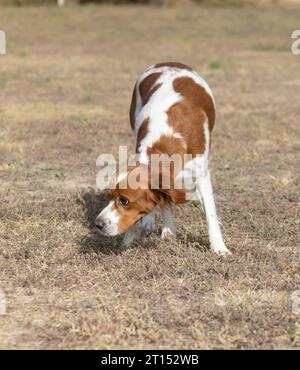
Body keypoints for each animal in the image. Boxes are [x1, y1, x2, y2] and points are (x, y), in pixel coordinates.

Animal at [95, 62, 231, 254]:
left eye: (124, 201)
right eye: (108, 196)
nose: (98, 224)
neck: (166, 144)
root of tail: (169, 63)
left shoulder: (202, 175)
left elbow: (210, 214)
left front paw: (219, 248)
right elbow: (163, 202)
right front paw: (163, 230)